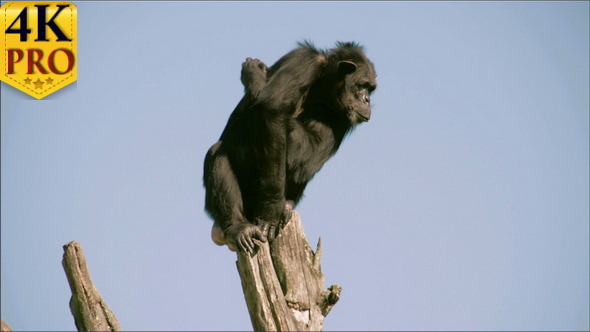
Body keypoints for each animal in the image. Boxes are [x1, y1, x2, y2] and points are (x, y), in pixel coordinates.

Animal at [204, 42, 380, 253]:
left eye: (370, 89)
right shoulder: (304, 61)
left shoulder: (340, 118)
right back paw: (239, 228)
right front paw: (271, 211)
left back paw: (285, 206)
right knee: (218, 152)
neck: (322, 86)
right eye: (363, 85)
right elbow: (272, 109)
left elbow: (307, 157)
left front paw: (255, 74)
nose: (367, 100)